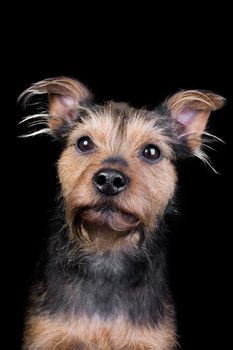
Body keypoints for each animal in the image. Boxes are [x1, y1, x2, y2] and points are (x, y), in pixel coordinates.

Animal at [19, 78, 225, 348]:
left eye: (151, 152)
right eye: (84, 143)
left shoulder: (151, 339)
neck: (107, 250)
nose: (109, 179)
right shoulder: (47, 334)